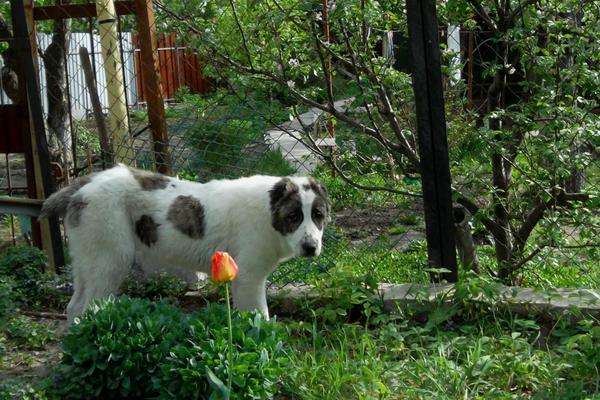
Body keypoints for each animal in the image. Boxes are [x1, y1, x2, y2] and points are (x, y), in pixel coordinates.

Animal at [39, 164, 330, 324]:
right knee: (87, 307)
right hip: (109, 262)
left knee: (74, 307)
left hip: (87, 261)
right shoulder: (249, 278)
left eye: (318, 215)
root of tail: (86, 183)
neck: (268, 211)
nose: (311, 247)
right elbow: (259, 316)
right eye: (293, 216)